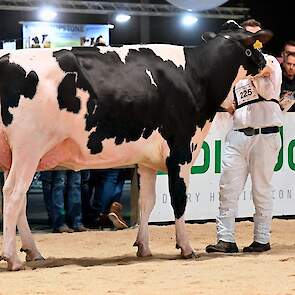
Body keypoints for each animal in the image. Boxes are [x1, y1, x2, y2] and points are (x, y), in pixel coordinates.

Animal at [0, 20, 272, 270]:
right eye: (252, 46)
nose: (266, 63)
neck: (196, 75)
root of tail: (6, 60)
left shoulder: (147, 160)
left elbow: (147, 202)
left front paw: (144, 247)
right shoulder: (181, 151)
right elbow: (179, 199)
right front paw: (186, 247)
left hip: (15, 156)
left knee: (19, 200)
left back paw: (33, 252)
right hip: (28, 149)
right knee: (13, 194)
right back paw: (13, 258)